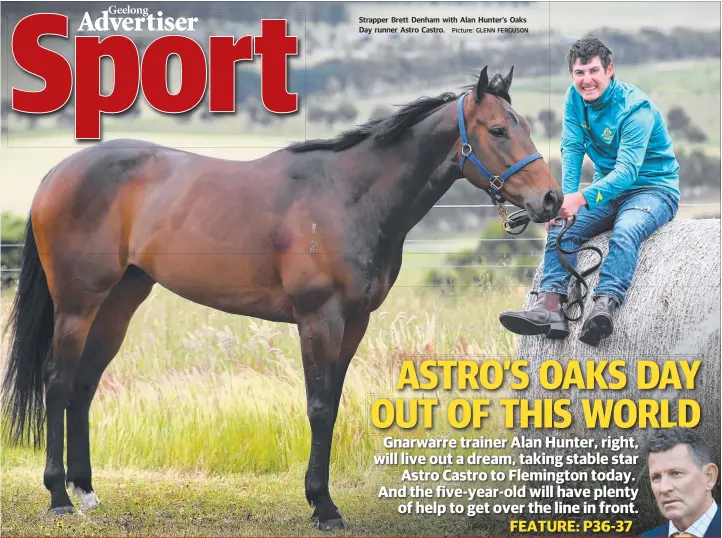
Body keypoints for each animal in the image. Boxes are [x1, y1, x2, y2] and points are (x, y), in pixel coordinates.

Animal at [1, 66, 564, 528]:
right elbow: (318, 406)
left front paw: (322, 499)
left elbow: (332, 404)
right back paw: (59, 497)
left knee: (84, 384)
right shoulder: (319, 319)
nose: (551, 199)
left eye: (523, 126)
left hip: (119, 302)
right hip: (77, 304)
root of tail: (55, 175)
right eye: (498, 130)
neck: (348, 196)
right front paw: (324, 506)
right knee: (58, 382)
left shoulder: (354, 323)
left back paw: (87, 491)